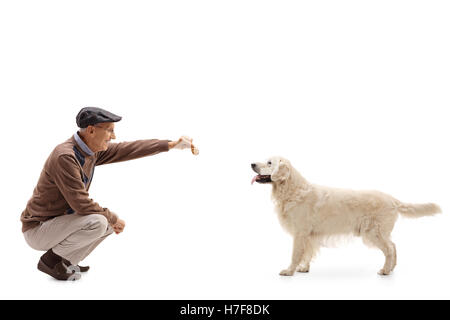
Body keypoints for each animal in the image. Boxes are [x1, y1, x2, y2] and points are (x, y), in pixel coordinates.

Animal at [251, 157, 442, 276]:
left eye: (269, 162)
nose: (252, 164)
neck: (292, 190)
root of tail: (393, 200)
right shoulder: (309, 235)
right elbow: (307, 253)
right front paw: (303, 268)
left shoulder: (300, 233)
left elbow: (296, 254)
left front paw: (289, 271)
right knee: (394, 246)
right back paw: (392, 268)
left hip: (373, 232)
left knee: (389, 249)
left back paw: (385, 270)